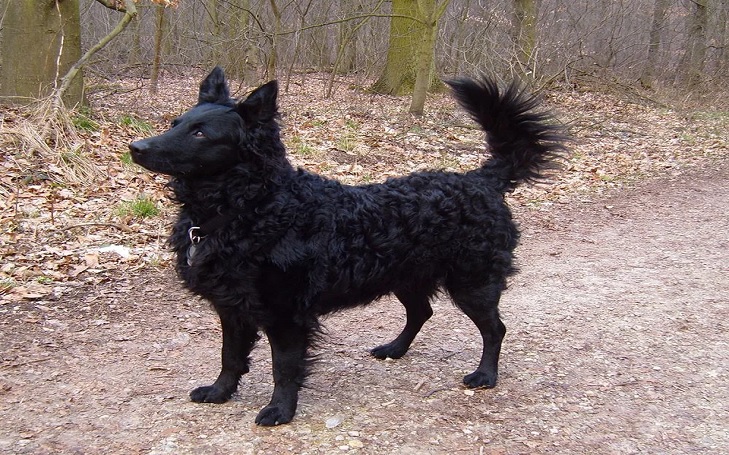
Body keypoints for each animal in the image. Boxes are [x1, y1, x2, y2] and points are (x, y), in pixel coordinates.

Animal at [128, 67, 564, 428]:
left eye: (200, 133)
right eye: (176, 124)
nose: (136, 146)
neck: (252, 207)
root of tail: (481, 179)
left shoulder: (285, 314)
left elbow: (284, 368)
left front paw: (280, 410)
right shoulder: (232, 307)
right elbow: (230, 357)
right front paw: (219, 393)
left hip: (473, 283)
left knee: (495, 329)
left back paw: (486, 375)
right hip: (406, 277)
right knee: (422, 312)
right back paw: (395, 348)